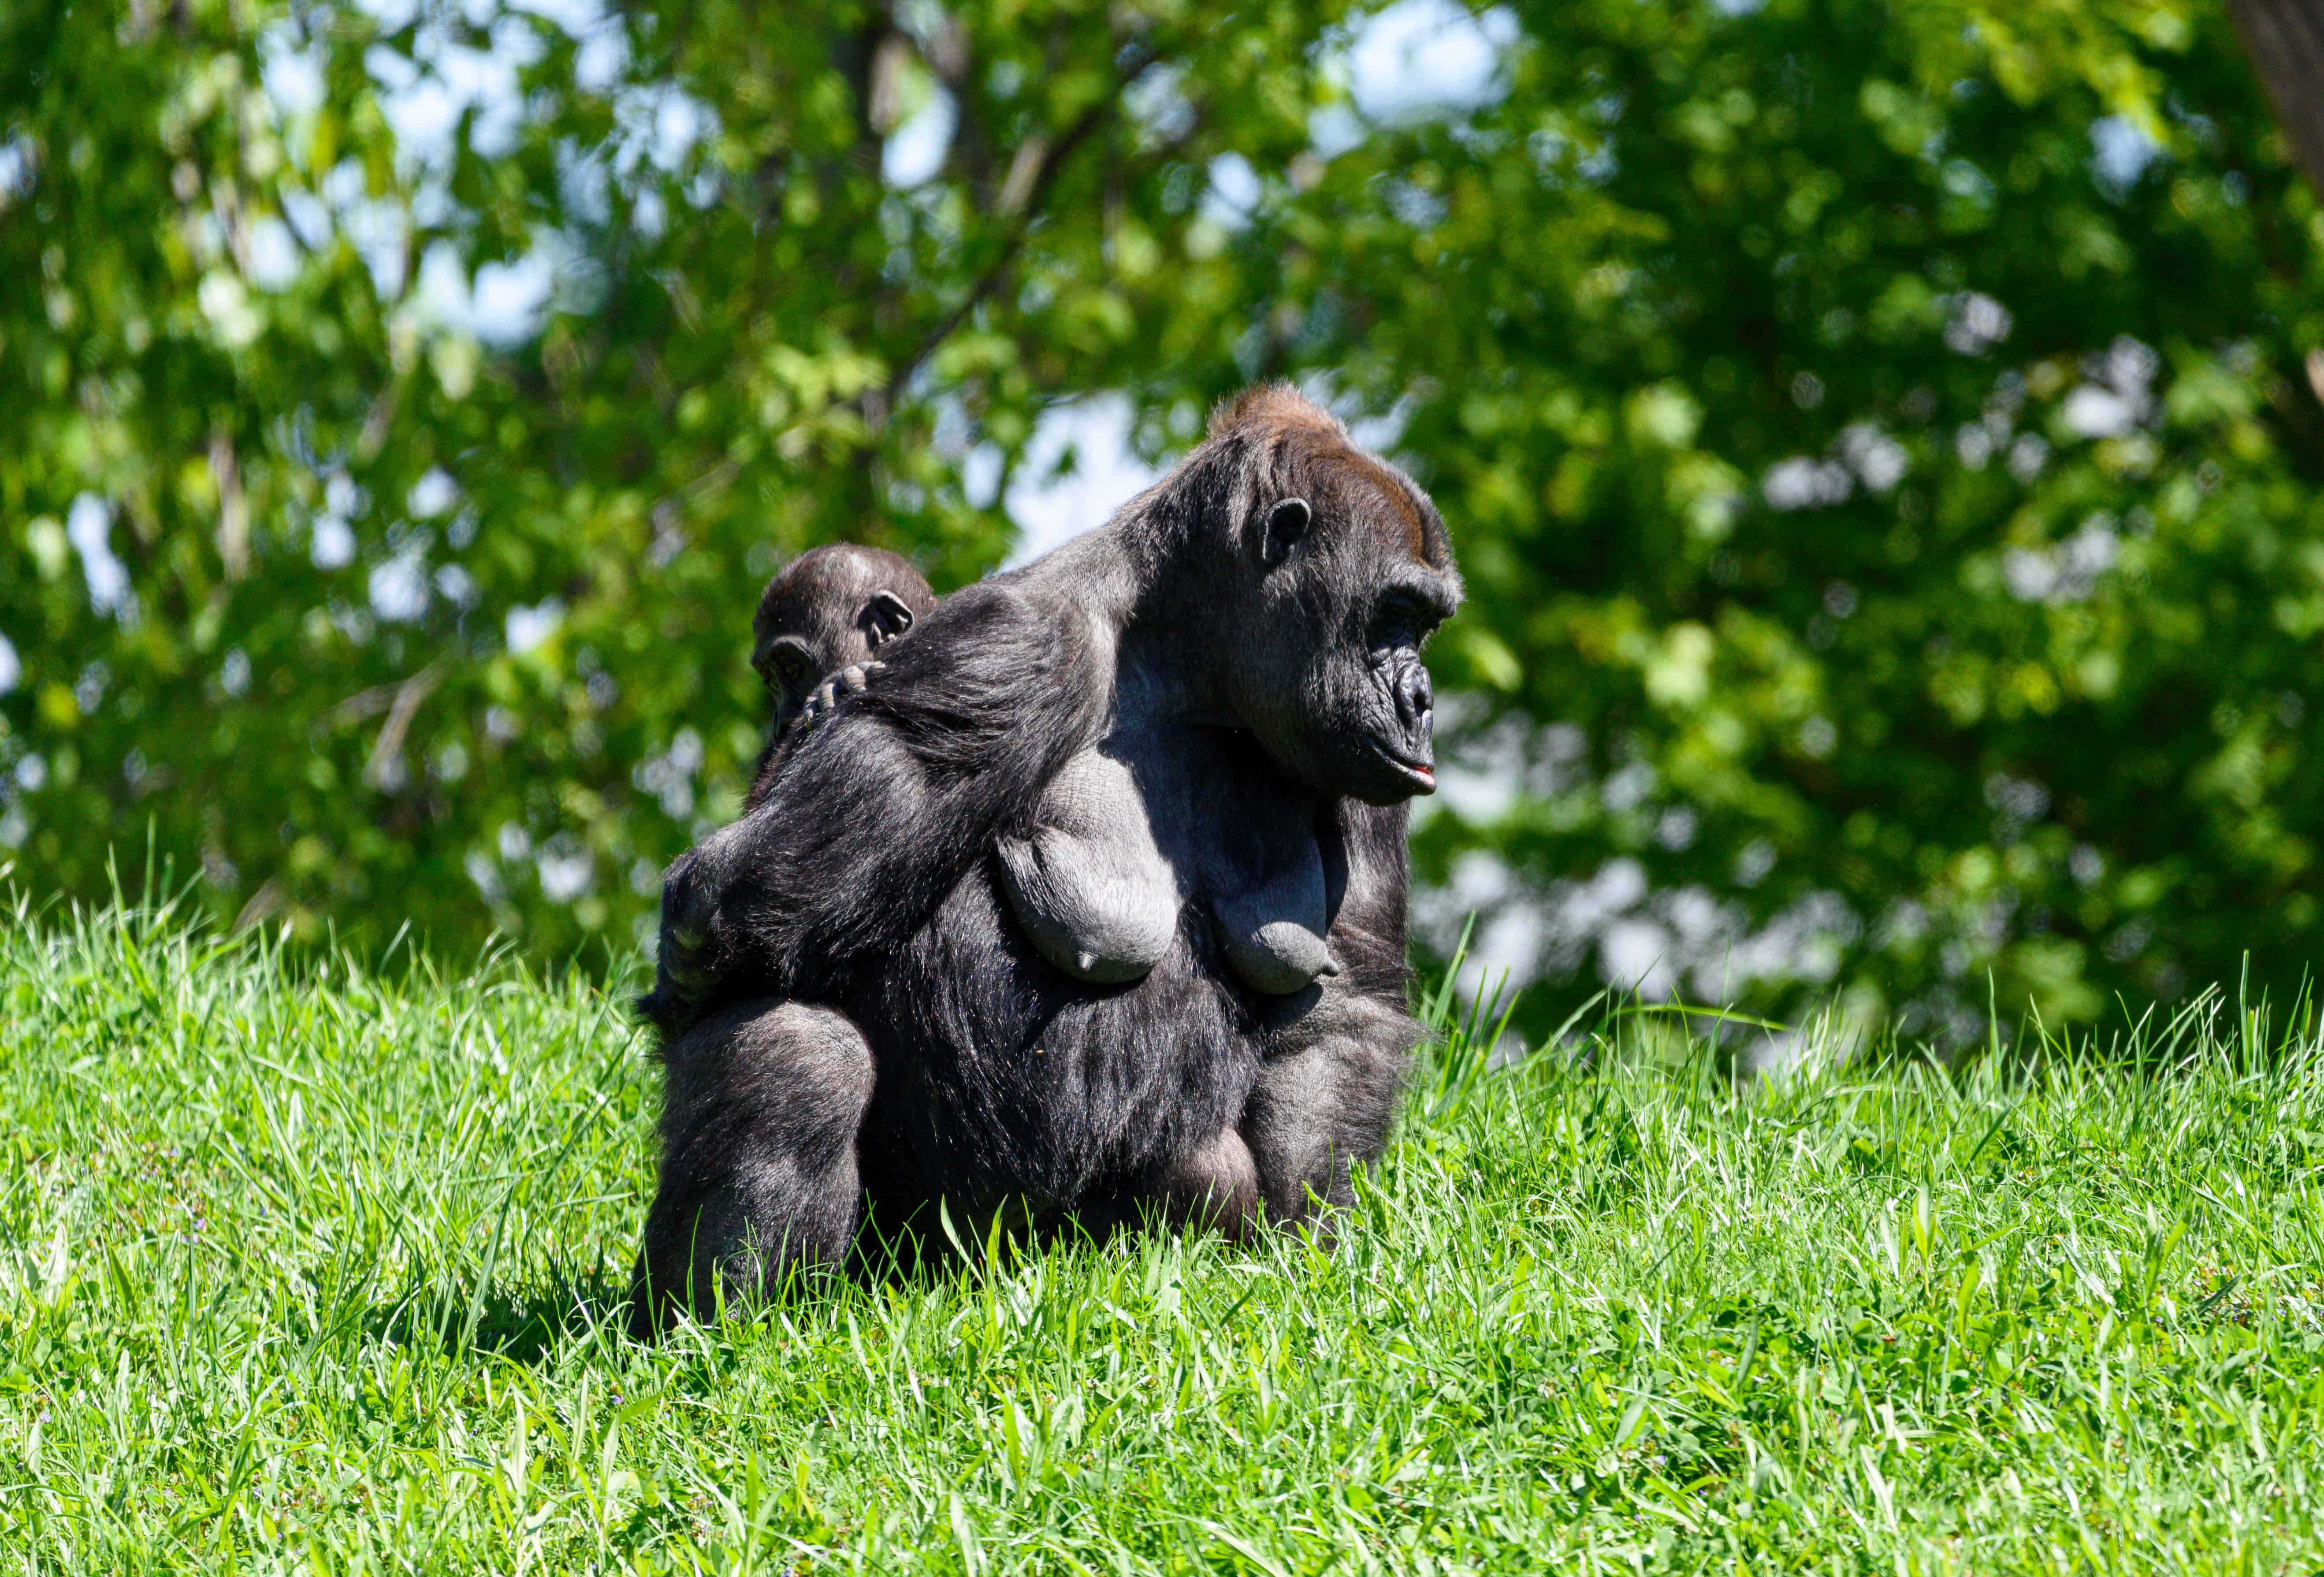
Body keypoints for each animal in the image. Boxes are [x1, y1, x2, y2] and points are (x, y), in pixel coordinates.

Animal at [634, 385, 1458, 1328]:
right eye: (1393, 613)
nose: (1420, 701)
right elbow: (733, 905)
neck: (1186, 657)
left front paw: (1306, 1239)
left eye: (1424, 623)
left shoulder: (1350, 757)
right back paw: (718, 1338)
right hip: (916, 1260)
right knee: (798, 1049)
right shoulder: (1013, 643)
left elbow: (1347, 1001)